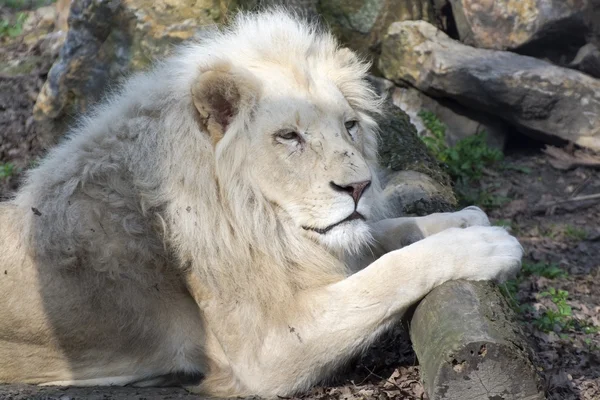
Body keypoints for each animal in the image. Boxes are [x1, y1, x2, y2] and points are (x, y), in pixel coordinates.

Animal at [0, 8, 520, 396]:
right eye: (289, 136)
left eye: (349, 125)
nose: (359, 187)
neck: (257, 219)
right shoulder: (266, 351)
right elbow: (384, 276)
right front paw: (486, 246)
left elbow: (388, 233)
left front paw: (464, 218)